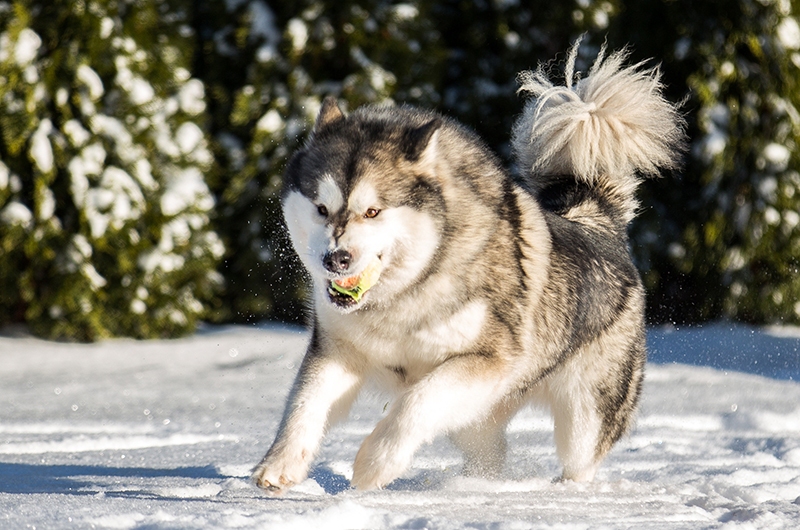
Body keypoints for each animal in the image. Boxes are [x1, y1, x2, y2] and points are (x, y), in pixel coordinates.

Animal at [253, 40, 684, 490]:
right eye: (321, 208)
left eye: (372, 211)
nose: (335, 259)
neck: (407, 291)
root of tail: (599, 222)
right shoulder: (338, 351)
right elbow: (304, 404)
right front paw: (279, 465)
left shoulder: (485, 361)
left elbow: (417, 402)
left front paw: (374, 463)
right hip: (477, 421)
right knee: (489, 454)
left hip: (583, 418)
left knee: (579, 459)